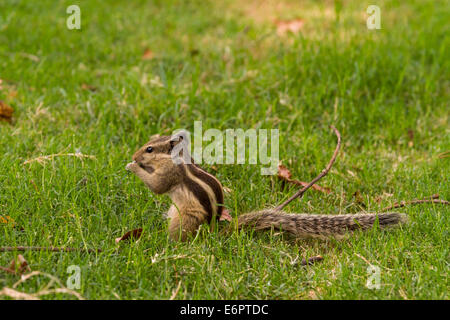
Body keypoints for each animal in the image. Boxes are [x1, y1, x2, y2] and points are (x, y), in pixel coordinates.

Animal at [126, 134, 408, 241]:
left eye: (149, 149)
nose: (135, 153)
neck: (179, 160)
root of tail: (215, 230)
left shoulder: (170, 174)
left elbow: (158, 186)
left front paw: (133, 166)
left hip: (185, 219)